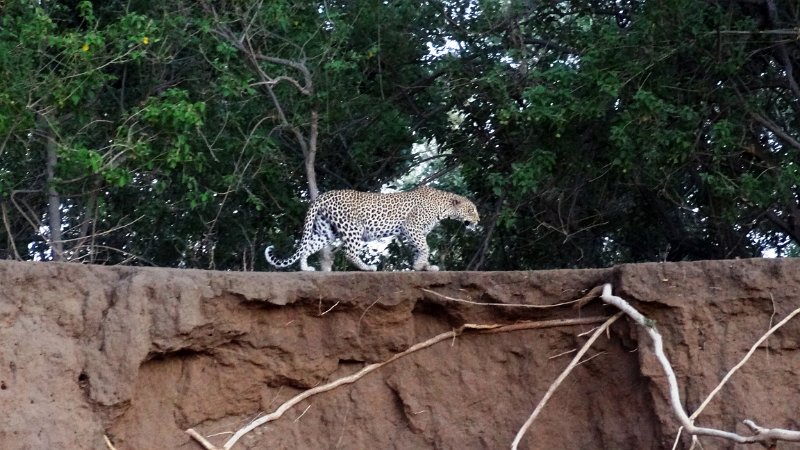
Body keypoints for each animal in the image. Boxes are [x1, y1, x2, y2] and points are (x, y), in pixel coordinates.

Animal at [265, 185, 480, 271]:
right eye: (471, 210)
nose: (478, 221)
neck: (443, 207)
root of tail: (323, 196)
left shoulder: (411, 233)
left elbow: (419, 249)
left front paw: (423, 266)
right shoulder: (412, 228)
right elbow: (424, 248)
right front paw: (421, 265)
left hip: (325, 231)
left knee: (307, 247)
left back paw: (305, 268)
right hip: (353, 229)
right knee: (349, 252)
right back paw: (367, 267)